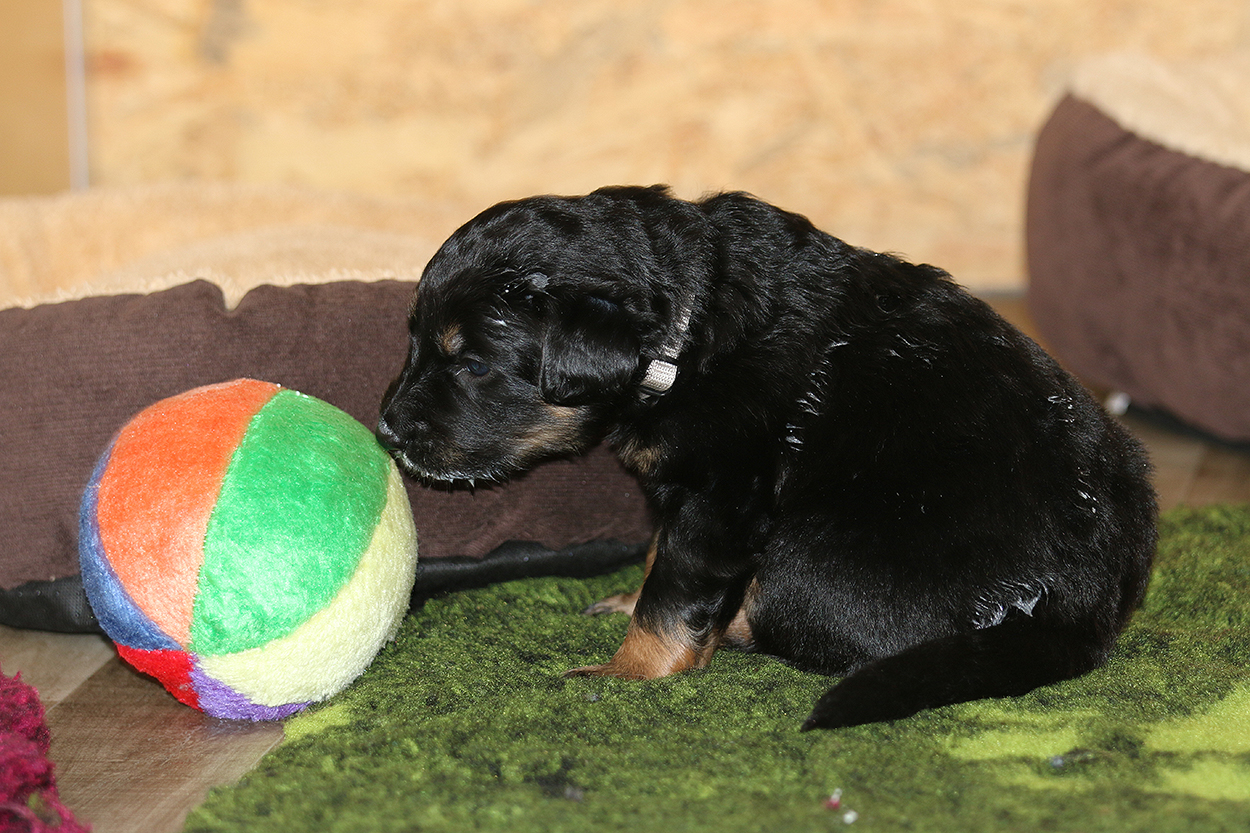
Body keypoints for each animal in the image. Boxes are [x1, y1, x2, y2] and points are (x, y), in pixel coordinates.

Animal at [377, 185, 1157, 730]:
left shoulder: (721, 494)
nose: (385, 429)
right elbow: (662, 559)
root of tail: (1079, 620)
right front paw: (630, 599)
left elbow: (675, 594)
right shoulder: (689, 490)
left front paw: (626, 674)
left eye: (473, 364)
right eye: (412, 340)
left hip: (806, 561)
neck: (684, 335)